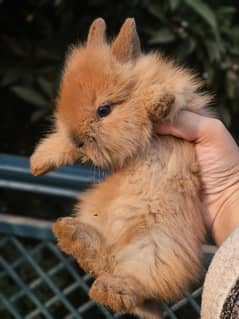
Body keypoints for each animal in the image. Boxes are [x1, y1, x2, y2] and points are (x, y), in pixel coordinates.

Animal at [29, 18, 211, 319]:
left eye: (104, 110)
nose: (79, 140)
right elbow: (61, 144)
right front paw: (37, 163)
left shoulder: (184, 101)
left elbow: (167, 97)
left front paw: (156, 102)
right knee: (103, 261)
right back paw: (72, 236)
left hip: (155, 249)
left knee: (137, 284)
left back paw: (110, 290)